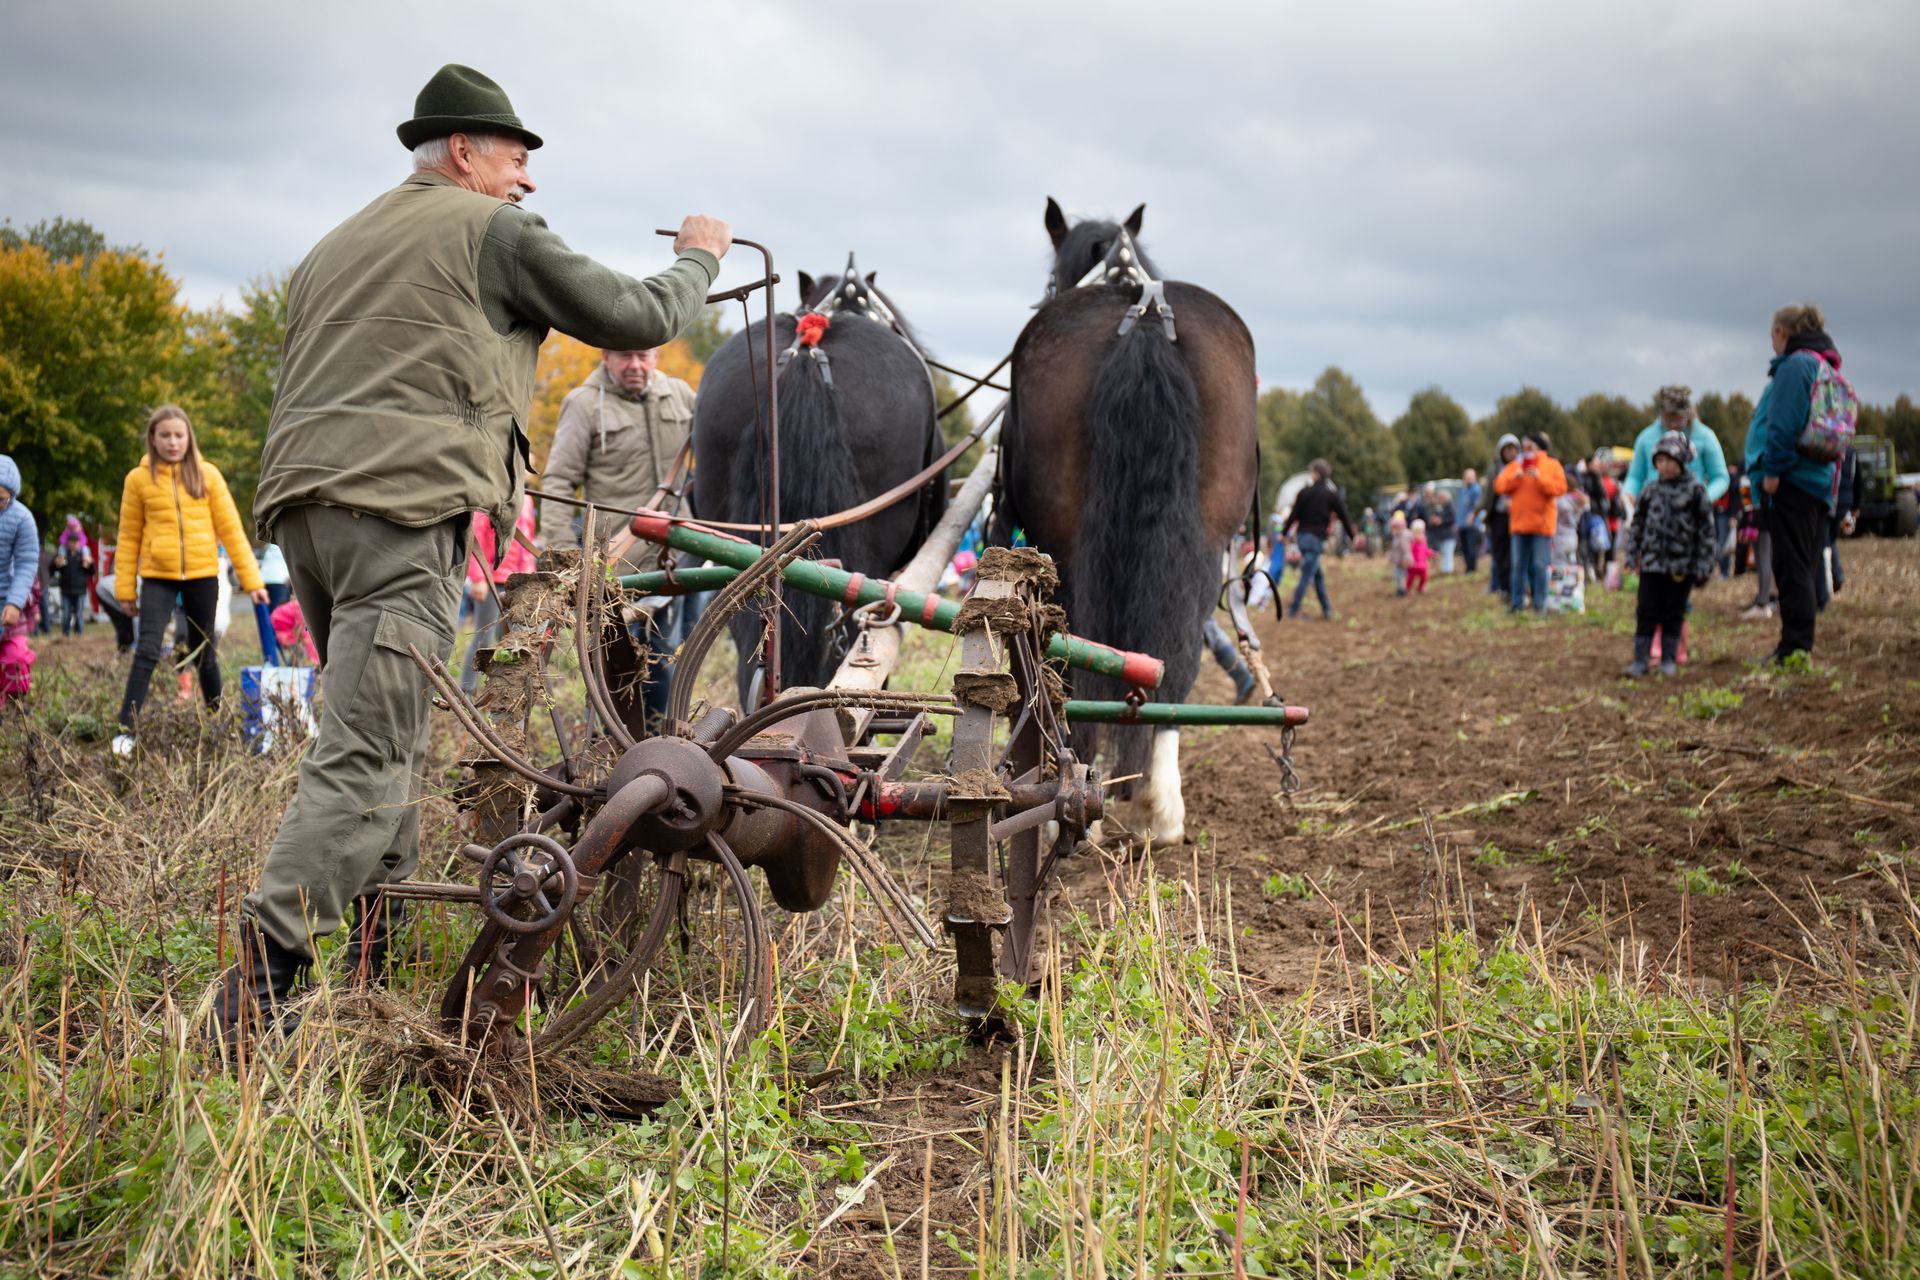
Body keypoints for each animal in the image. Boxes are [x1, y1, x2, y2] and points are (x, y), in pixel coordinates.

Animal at [996, 198, 1259, 846]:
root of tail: (1143, 317)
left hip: (1061, 548)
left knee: (1071, 658)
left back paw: (1070, 802)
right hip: (1206, 542)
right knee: (1175, 661)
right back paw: (1158, 812)